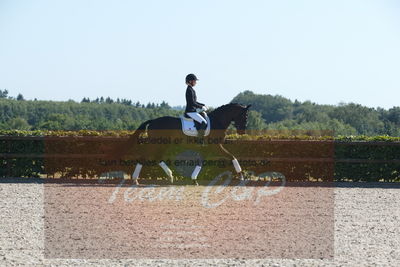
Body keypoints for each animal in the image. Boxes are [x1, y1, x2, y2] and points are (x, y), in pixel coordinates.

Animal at [111, 103, 252, 186]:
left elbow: (200, 162)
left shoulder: (207, 149)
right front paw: (241, 176)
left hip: (163, 144)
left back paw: (170, 176)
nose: (242, 132)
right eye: (244, 116)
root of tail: (153, 121)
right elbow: (232, 157)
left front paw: (194, 179)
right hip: (156, 143)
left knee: (157, 157)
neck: (217, 122)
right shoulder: (216, 146)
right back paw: (135, 179)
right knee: (144, 157)